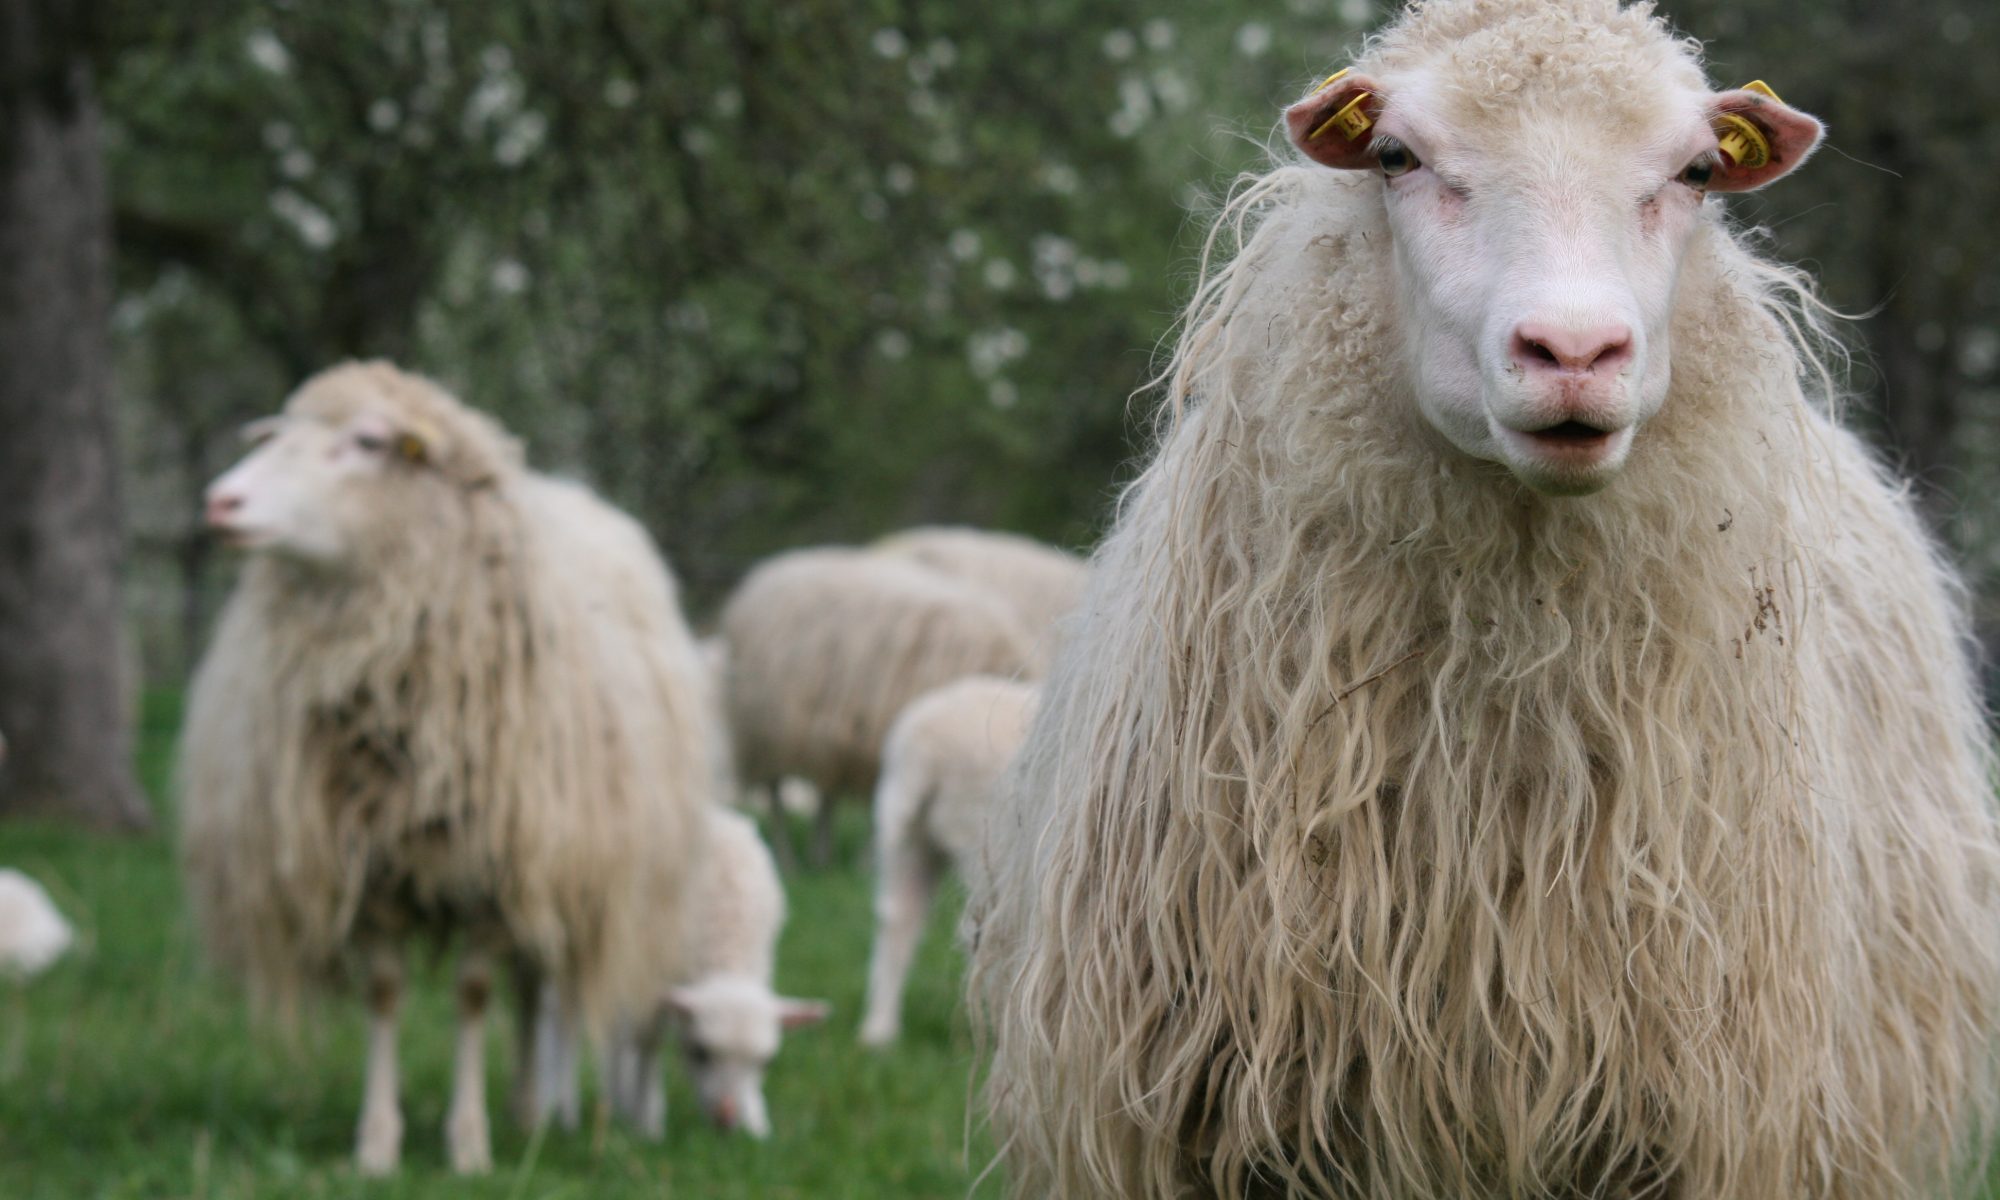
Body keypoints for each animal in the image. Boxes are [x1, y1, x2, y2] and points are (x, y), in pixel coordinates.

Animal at [179, 361, 721, 1176]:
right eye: (279, 431)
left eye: (368, 442)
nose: (222, 501)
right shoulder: (367, 868)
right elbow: (383, 993)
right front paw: (377, 1142)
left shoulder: (496, 870)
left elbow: (473, 997)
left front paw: (469, 1143)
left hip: (556, 862)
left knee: (531, 988)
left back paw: (529, 1109)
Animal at [604, 805, 828, 1139]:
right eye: (699, 1052)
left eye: (766, 1062)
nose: (726, 1119)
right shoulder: (653, 972)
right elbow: (648, 1043)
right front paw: (647, 1122)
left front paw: (757, 1123)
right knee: (618, 1037)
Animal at [718, 546, 1039, 867]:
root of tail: (769, 571)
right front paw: (867, 860)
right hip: (765, 729)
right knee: (775, 794)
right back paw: (788, 857)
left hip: (818, 736)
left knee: (825, 794)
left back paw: (821, 854)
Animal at [859, 675, 1035, 1048]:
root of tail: (922, 746)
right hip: (979, 840)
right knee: (984, 937)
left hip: (915, 841)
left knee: (897, 920)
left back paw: (879, 1030)